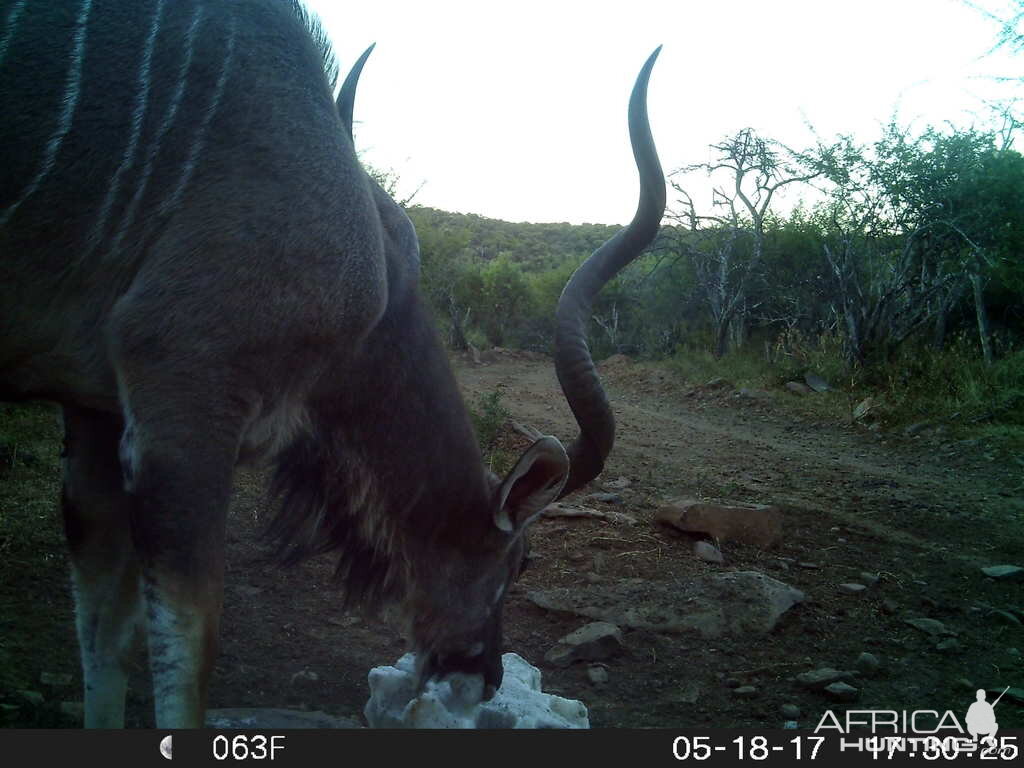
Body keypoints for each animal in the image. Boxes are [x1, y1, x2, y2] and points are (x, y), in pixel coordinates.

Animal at [0, 0, 663, 729]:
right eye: (519, 563)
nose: (484, 678)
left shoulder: (93, 416)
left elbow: (104, 643)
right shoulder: (182, 404)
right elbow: (186, 666)